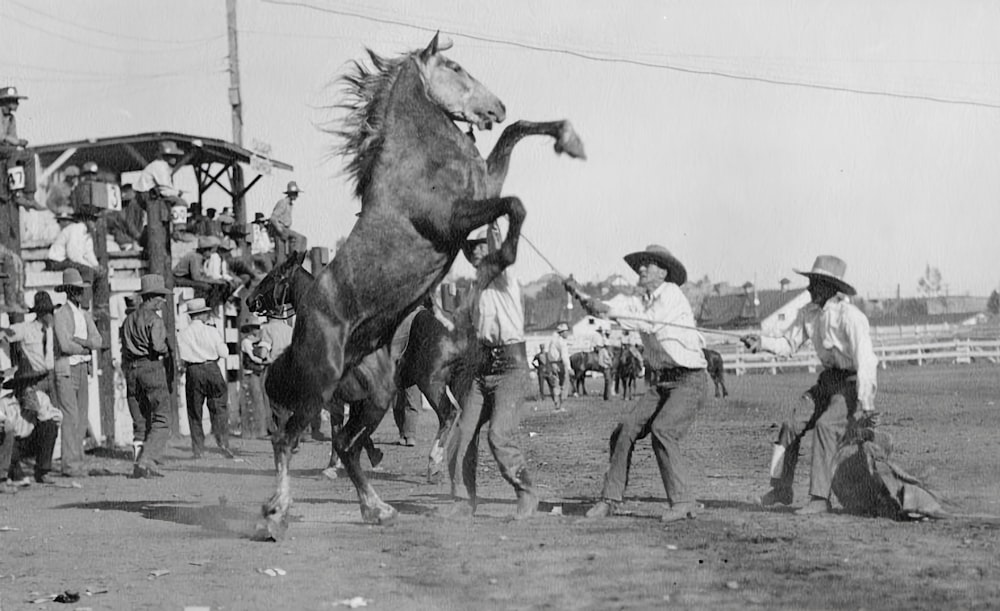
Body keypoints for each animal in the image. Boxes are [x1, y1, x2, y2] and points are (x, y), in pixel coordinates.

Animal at [258, 34, 584, 540]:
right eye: (454, 66)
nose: (496, 106)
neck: (420, 159)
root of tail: (303, 324)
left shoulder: (485, 185)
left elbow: (515, 142)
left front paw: (568, 138)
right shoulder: (453, 218)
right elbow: (515, 204)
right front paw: (500, 258)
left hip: (376, 395)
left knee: (348, 445)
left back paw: (379, 509)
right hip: (322, 387)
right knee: (287, 439)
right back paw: (277, 515)